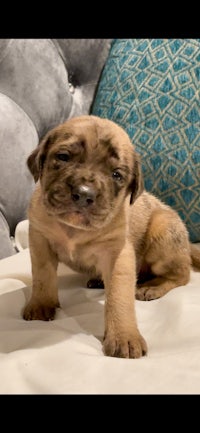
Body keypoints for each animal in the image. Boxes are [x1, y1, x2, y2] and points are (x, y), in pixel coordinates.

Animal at [23, 115, 200, 358]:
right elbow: (42, 275)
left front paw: (124, 336)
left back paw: (152, 287)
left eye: (116, 175)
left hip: (163, 231)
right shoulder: (40, 238)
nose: (84, 193)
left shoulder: (118, 254)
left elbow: (119, 297)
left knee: (182, 275)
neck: (74, 229)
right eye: (63, 157)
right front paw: (41, 303)